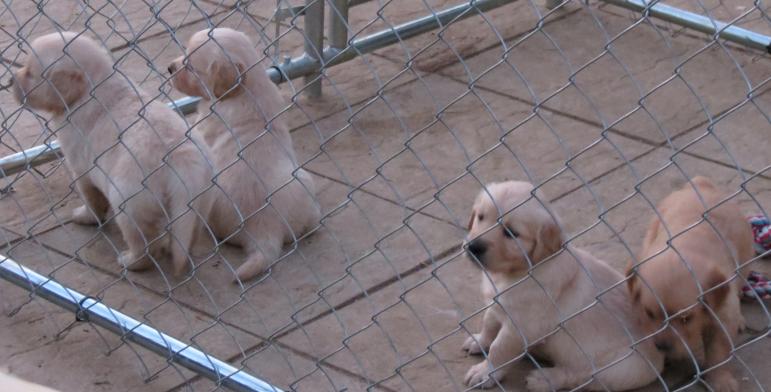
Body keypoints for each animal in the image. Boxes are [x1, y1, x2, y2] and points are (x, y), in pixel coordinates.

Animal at [12, 31, 216, 276]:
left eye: (30, 73)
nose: (10, 80)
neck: (90, 88)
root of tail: (181, 157)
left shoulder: (81, 168)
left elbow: (91, 198)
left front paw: (85, 217)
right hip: (200, 201)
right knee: (186, 237)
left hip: (128, 202)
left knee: (145, 244)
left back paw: (131, 261)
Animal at [170, 29, 322, 284]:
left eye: (190, 66)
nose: (170, 67)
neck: (246, 88)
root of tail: (265, 228)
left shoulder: (202, 125)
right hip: (304, 182)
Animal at [462, 182, 668, 390]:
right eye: (481, 217)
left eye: (511, 233)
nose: (473, 247)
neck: (517, 271)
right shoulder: (497, 303)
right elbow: (489, 322)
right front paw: (479, 340)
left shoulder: (522, 327)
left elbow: (499, 349)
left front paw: (484, 372)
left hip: (622, 368)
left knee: (582, 375)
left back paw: (545, 379)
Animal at [628, 178, 752, 392]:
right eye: (649, 313)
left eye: (686, 319)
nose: (662, 347)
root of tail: (700, 184)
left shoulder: (722, 316)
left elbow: (718, 353)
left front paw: (721, 380)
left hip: (745, 260)